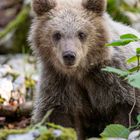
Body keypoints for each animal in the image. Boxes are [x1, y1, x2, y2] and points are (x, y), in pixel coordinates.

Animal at [29, 0, 140, 139]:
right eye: (57, 34)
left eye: (81, 33)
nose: (69, 55)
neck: (81, 72)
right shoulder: (58, 84)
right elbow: (58, 117)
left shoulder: (117, 79)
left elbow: (126, 116)